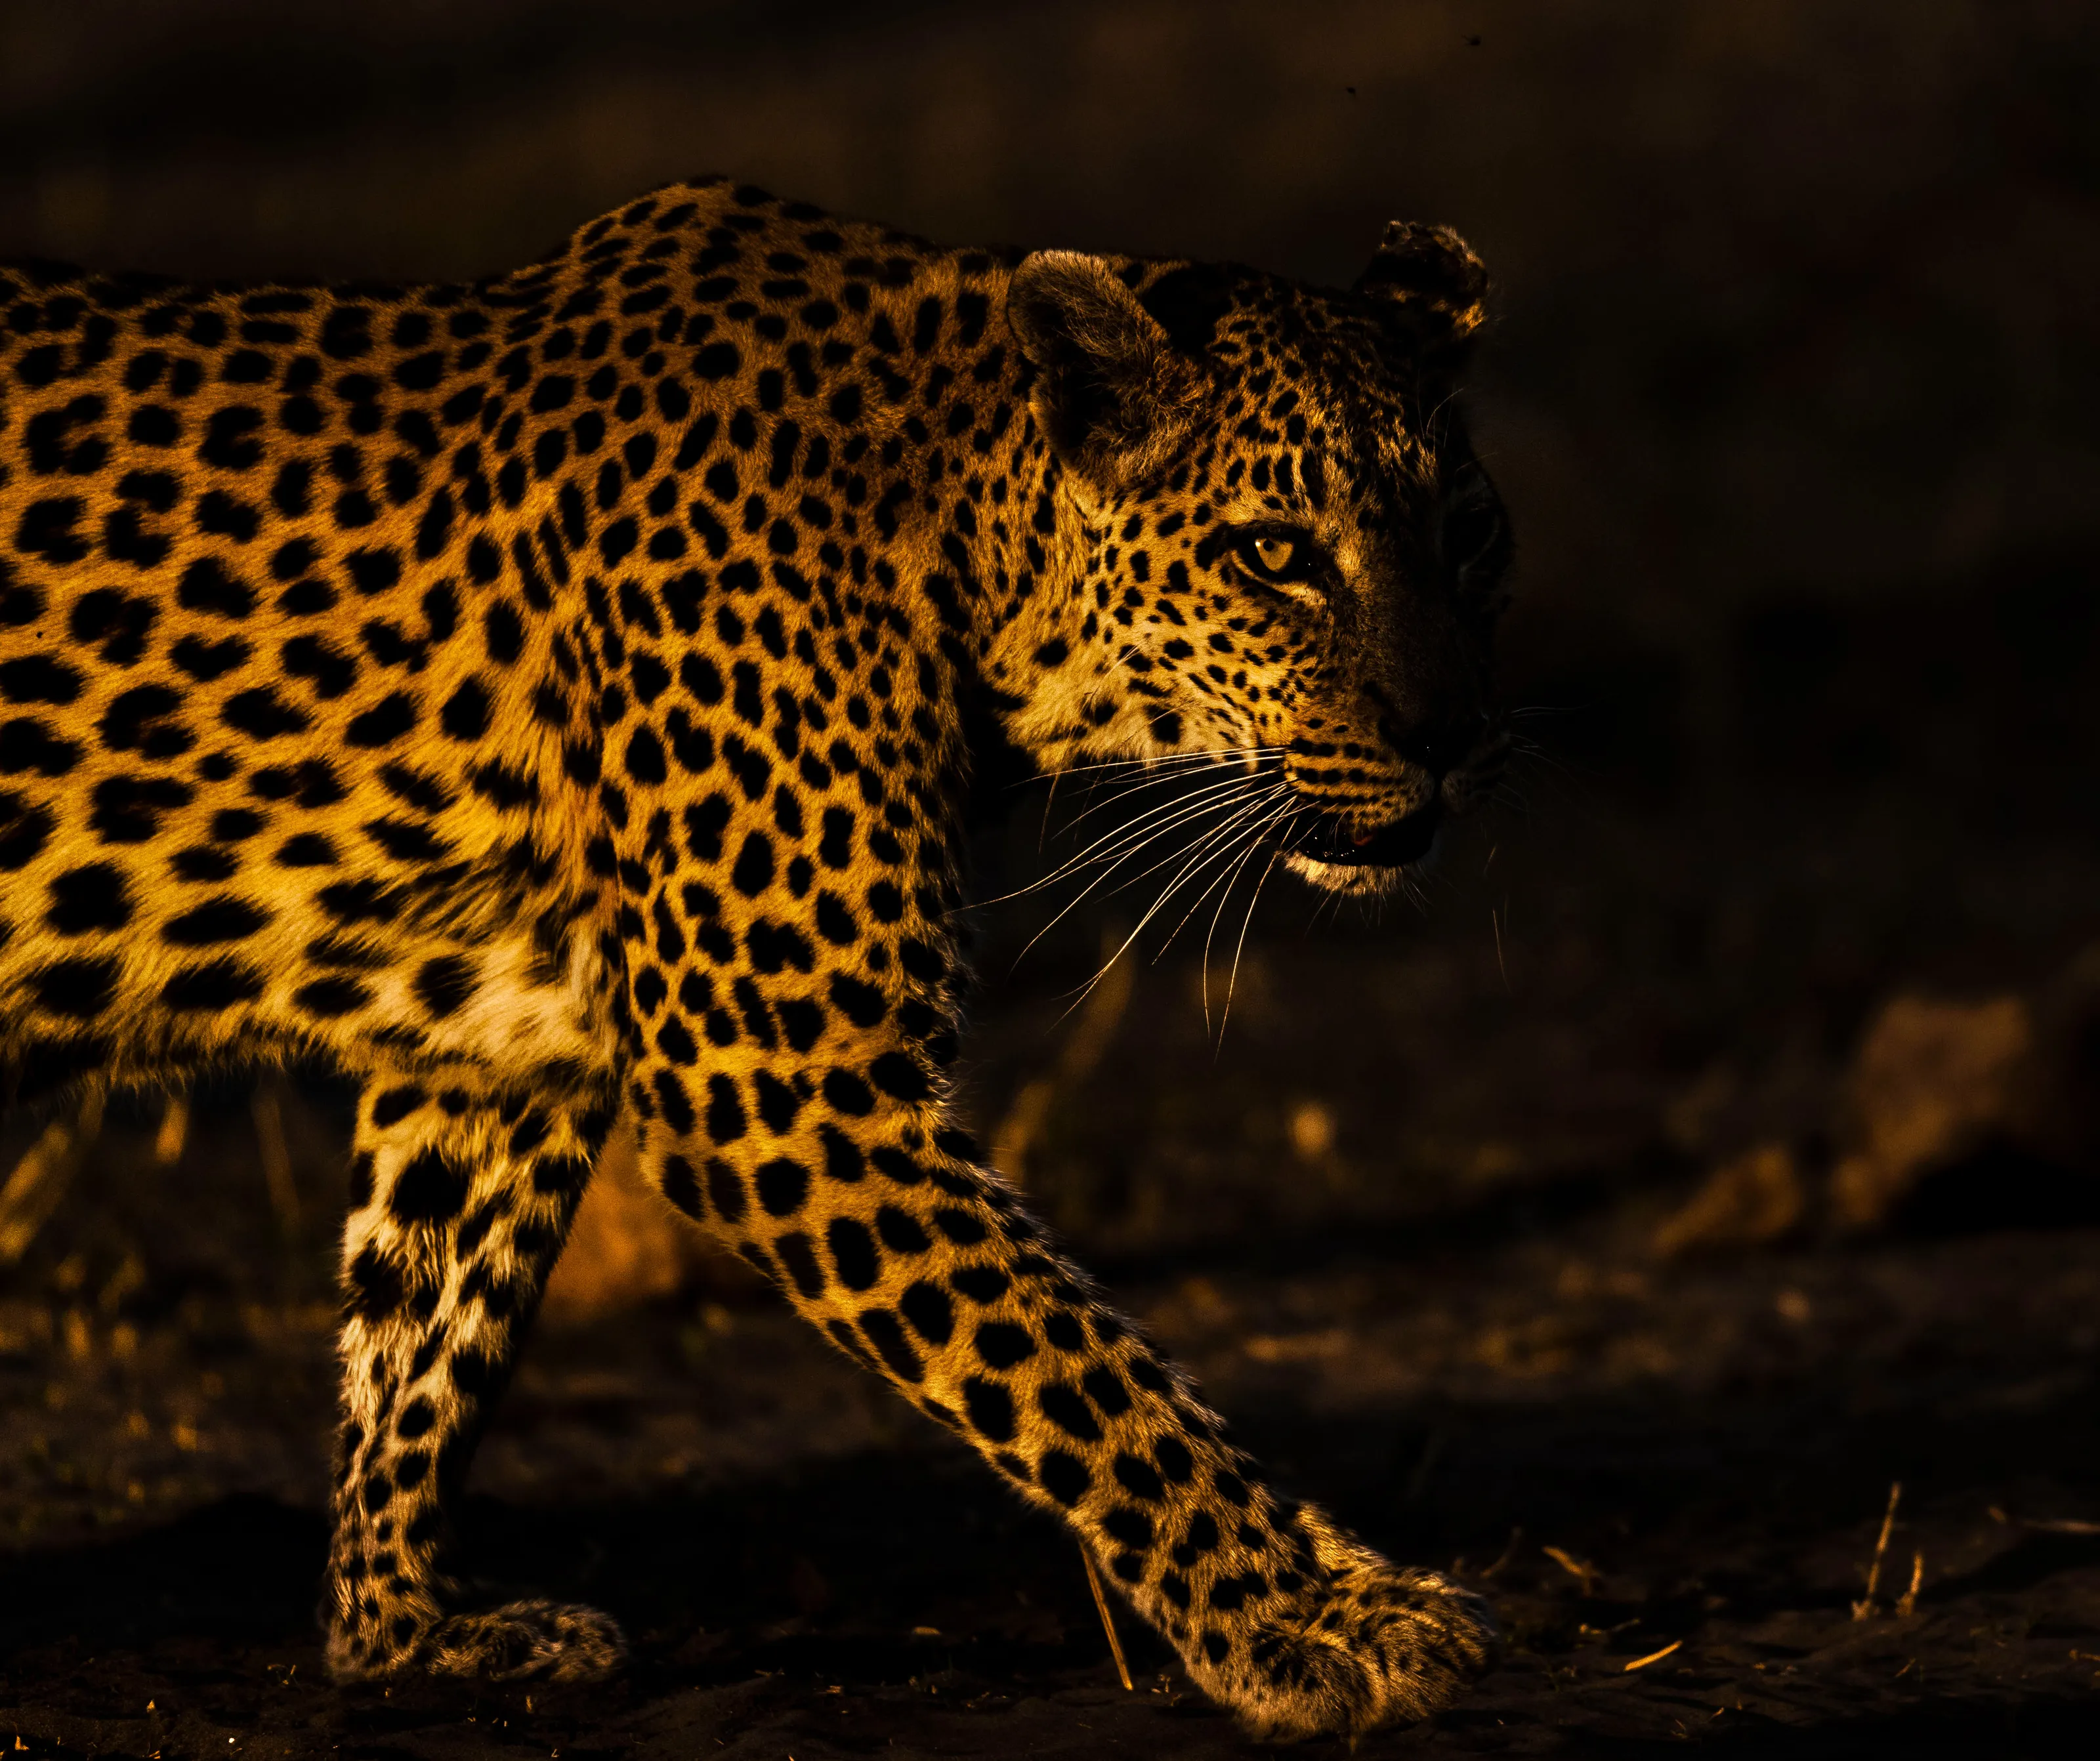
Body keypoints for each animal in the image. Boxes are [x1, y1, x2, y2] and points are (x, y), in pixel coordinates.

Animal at [0, 176, 1515, 1740]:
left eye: (1470, 538)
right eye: (1275, 552)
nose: (1455, 739)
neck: (961, 536)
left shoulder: (501, 1051)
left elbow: (424, 1326)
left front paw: (398, 1627)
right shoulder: (787, 1076)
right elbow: (1081, 1370)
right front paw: (1301, 1619)